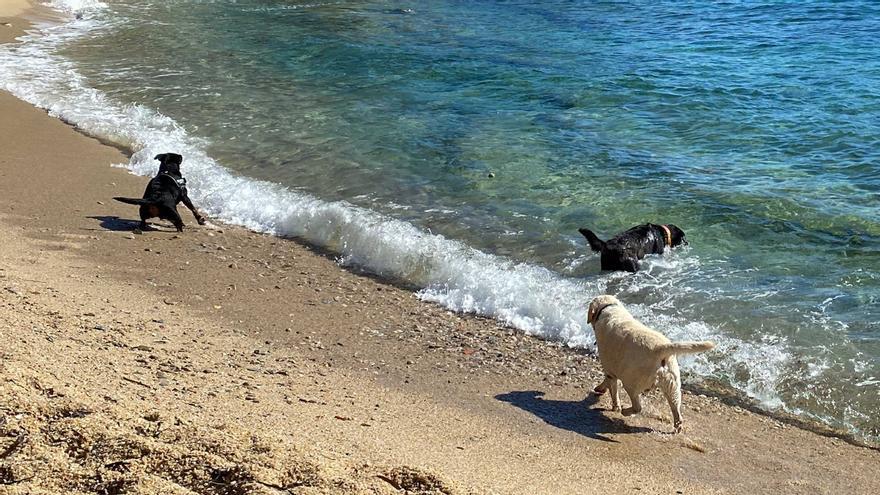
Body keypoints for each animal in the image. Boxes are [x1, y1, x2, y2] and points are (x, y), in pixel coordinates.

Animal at [584, 296, 716, 432]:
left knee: (637, 407)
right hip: (672, 385)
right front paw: (600, 388)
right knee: (676, 410)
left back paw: (625, 411)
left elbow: (613, 390)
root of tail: (661, 348)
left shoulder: (610, 368)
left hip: (631, 382)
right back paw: (677, 427)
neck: (610, 308)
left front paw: (614, 405)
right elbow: (608, 383)